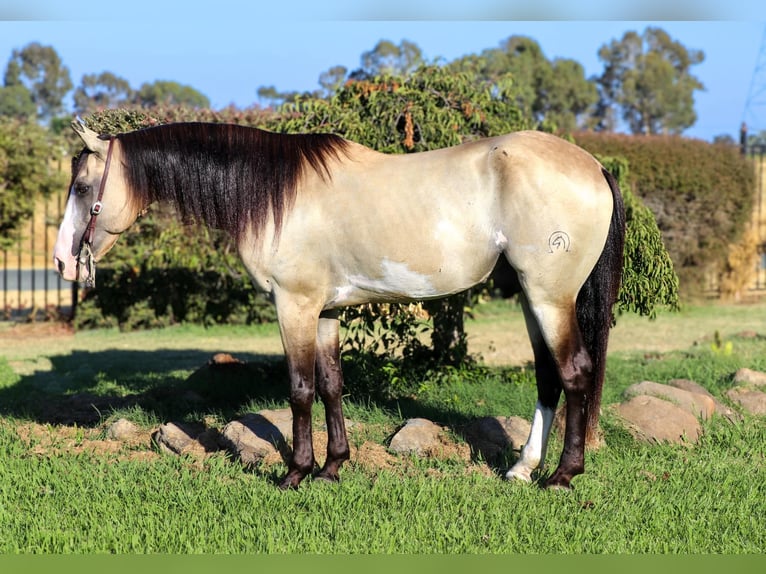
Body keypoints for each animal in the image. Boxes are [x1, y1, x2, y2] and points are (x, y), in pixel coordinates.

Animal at [54, 120, 625, 490]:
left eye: (82, 187)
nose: (62, 262)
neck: (275, 196)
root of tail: (595, 166)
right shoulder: (325, 312)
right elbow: (331, 385)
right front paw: (333, 467)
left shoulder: (294, 306)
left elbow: (300, 389)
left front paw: (296, 472)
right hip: (533, 298)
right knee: (548, 379)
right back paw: (522, 469)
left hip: (550, 298)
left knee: (574, 372)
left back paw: (562, 476)